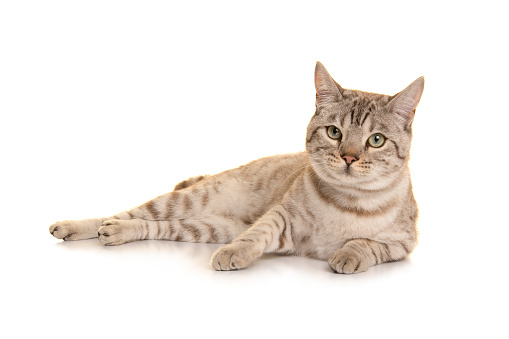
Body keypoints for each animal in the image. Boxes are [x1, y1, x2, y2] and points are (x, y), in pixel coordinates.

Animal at [49, 62, 422, 274]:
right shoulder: (280, 217)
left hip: (203, 228)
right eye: (334, 133)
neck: (349, 203)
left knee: (154, 226)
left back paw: (115, 232)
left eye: (376, 140)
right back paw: (77, 226)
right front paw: (235, 253)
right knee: (123, 213)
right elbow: (255, 235)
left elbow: (367, 244)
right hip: (188, 201)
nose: (348, 157)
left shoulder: (402, 245)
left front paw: (348, 254)